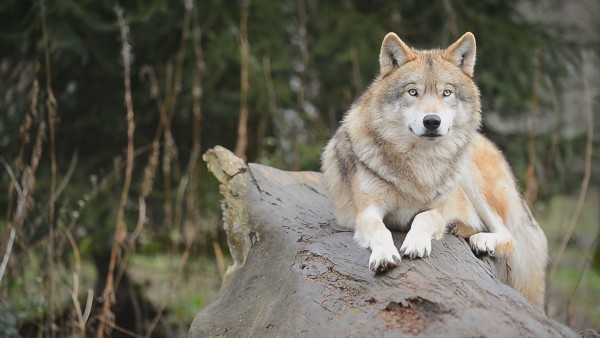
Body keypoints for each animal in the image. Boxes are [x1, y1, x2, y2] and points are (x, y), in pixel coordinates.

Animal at [324, 31, 548, 308]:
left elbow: (424, 218)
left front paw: (416, 244)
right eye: (413, 92)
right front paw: (385, 255)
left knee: (508, 235)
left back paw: (482, 240)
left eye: (446, 93)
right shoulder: (366, 211)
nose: (432, 121)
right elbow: (380, 229)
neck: (420, 164)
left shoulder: (437, 210)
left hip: (470, 179)